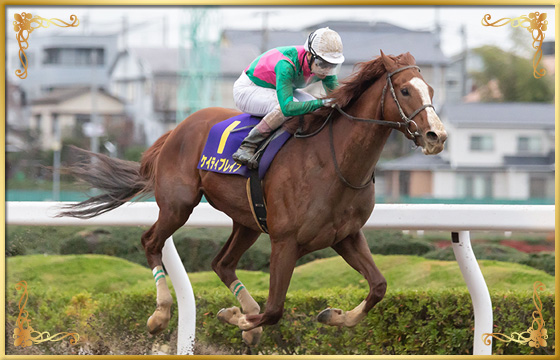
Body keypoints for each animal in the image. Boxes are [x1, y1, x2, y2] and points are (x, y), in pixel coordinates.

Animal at [59, 51, 446, 346]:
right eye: (405, 90)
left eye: (430, 88)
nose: (436, 136)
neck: (334, 163)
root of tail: (176, 129)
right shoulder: (285, 241)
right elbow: (274, 309)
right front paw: (237, 319)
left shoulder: (346, 236)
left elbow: (379, 286)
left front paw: (332, 315)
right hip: (178, 204)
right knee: (151, 242)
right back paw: (161, 313)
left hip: (248, 221)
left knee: (222, 263)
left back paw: (241, 311)